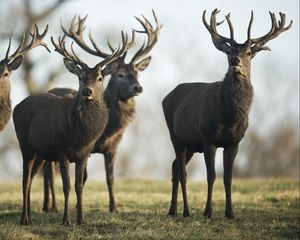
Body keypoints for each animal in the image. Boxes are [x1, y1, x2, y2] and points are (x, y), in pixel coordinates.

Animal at [12, 21, 132, 225]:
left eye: (100, 78)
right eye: (80, 77)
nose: (87, 91)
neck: (80, 135)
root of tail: (16, 107)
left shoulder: (84, 154)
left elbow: (79, 186)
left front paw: (81, 219)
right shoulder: (62, 150)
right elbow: (67, 186)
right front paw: (66, 220)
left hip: (40, 151)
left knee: (33, 177)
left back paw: (30, 216)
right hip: (24, 144)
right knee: (25, 179)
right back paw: (24, 219)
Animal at [38, 10, 161, 214]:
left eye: (137, 73)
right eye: (120, 74)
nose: (138, 87)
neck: (109, 131)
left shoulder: (113, 148)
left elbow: (110, 178)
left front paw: (114, 208)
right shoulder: (86, 148)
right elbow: (84, 178)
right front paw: (78, 207)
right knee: (48, 171)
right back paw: (50, 206)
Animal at [163, 9, 292, 219]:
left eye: (248, 52)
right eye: (229, 51)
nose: (235, 61)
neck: (230, 117)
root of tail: (166, 97)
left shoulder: (234, 142)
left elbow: (229, 178)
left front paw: (230, 213)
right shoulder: (209, 139)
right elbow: (211, 176)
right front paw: (208, 212)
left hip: (191, 144)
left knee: (175, 167)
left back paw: (172, 210)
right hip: (175, 136)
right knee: (182, 172)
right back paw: (186, 211)